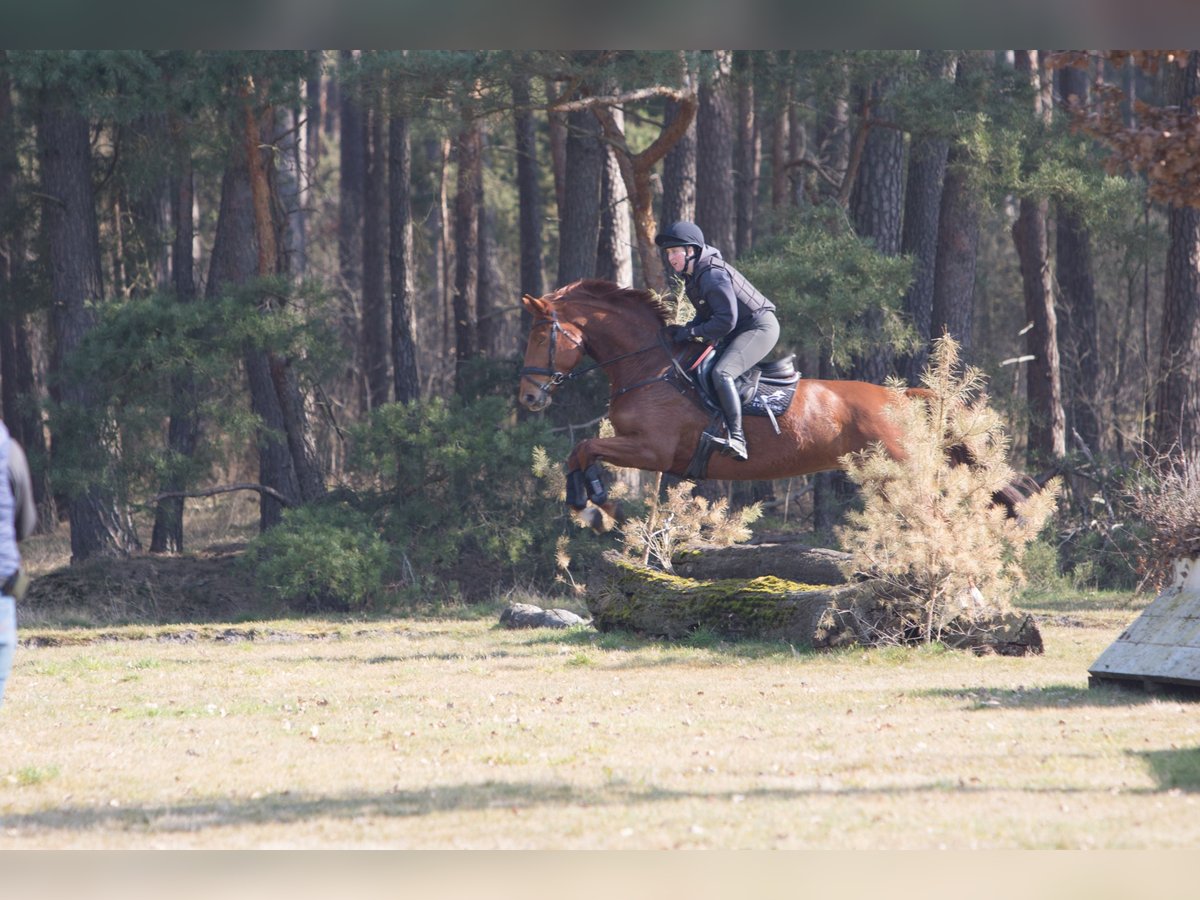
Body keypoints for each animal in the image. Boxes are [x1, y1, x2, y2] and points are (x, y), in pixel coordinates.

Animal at [520, 282, 950, 520]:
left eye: (540, 337)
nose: (527, 396)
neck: (648, 366)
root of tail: (902, 397)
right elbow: (578, 450)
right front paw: (588, 505)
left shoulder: (652, 450)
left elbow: (586, 447)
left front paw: (594, 503)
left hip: (895, 474)